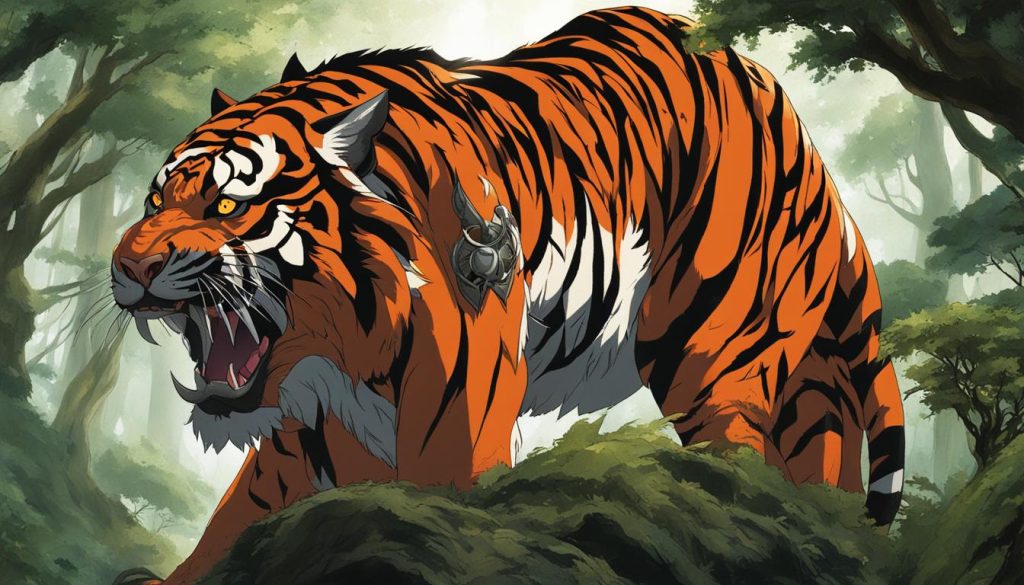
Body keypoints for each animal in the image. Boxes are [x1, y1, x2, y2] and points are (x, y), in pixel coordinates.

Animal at [110, 7, 905, 584]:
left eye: (225, 205)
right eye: (153, 201)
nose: (127, 266)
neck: (344, 353)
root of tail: (785, 109)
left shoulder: (452, 408)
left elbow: (435, 493)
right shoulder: (312, 424)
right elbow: (240, 514)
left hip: (716, 343)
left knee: (736, 452)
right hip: (806, 380)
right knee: (822, 454)